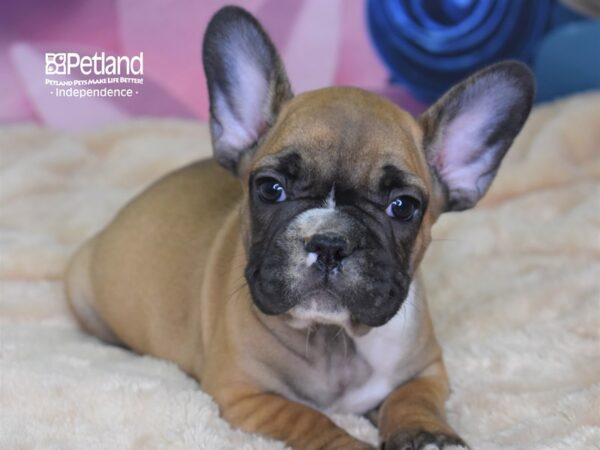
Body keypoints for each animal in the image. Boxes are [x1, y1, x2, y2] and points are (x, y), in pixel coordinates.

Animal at [65, 5, 536, 448]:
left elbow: (412, 399)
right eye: (270, 189)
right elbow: (307, 417)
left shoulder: (426, 370)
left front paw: (428, 435)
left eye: (403, 207)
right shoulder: (244, 394)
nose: (329, 242)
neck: (334, 340)